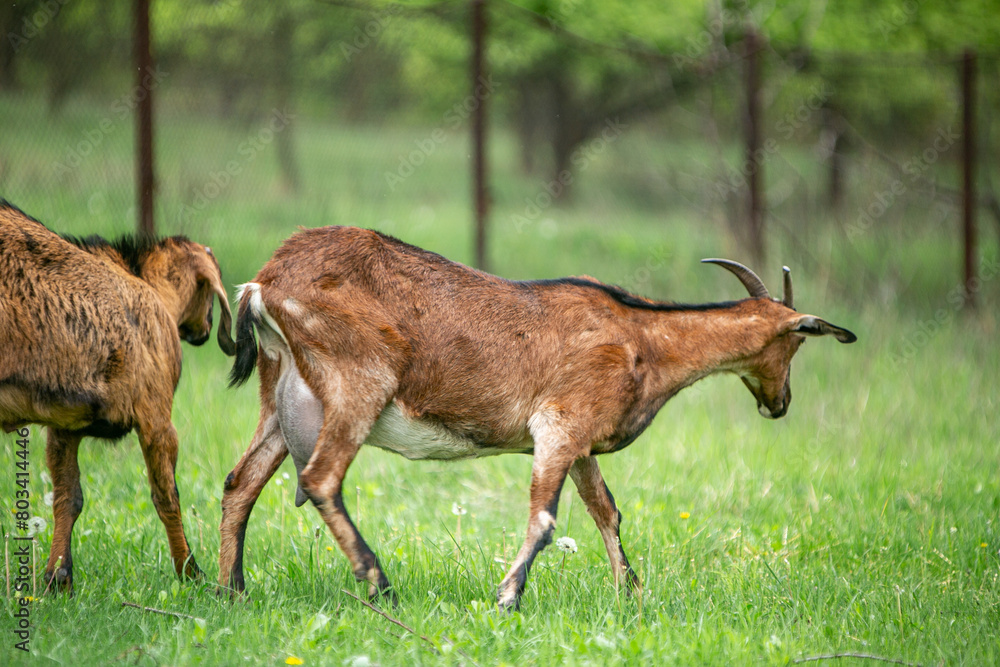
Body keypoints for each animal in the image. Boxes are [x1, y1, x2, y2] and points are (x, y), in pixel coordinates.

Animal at [0, 200, 235, 591]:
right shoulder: (156, 415)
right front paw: (191, 573)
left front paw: (58, 578)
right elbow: (167, 496)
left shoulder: (65, 426)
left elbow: (68, 497)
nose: (203, 331)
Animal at [219, 226, 856, 610]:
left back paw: (229, 590)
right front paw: (508, 597)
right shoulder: (559, 426)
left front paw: (631, 597)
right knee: (321, 477)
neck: (644, 337)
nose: (779, 403)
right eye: (797, 342)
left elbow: (607, 512)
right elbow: (547, 519)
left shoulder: (580, 445)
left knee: (240, 483)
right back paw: (381, 585)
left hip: (281, 397)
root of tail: (265, 283)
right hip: (359, 381)